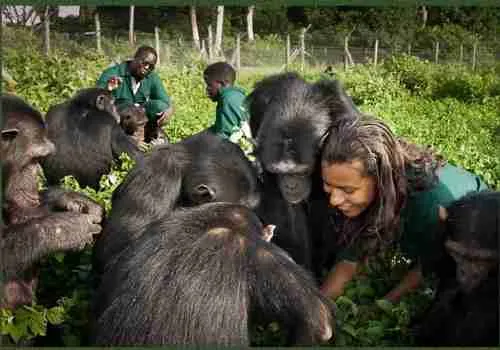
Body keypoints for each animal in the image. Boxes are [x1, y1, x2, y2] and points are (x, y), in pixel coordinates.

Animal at [0, 93, 103, 308]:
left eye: (41, 159)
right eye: (33, 159)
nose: (38, 174)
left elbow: (18, 212)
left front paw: (75, 200)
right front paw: (64, 229)